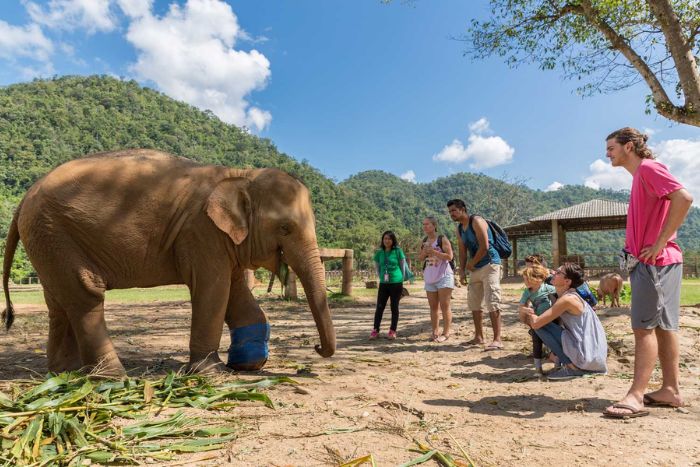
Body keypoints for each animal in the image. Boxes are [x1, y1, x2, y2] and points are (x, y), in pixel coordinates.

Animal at [0, 150, 336, 376]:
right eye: (285, 228)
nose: (316, 348)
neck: (241, 174)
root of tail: (24, 199)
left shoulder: (222, 240)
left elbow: (236, 290)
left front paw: (248, 365)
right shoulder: (201, 232)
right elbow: (213, 291)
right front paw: (212, 374)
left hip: (47, 240)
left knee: (59, 303)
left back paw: (65, 375)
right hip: (54, 233)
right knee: (85, 295)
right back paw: (112, 379)